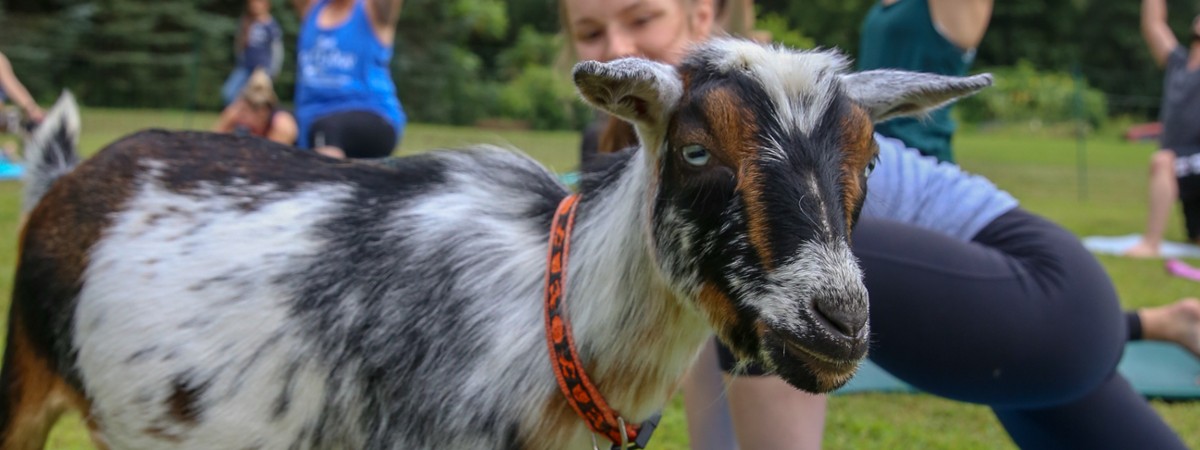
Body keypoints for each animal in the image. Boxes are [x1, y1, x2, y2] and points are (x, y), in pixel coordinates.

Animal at [0, 39, 990, 449]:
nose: (837, 324)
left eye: (869, 157)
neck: (550, 330)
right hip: (26, 384)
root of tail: (66, 178)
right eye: (696, 150)